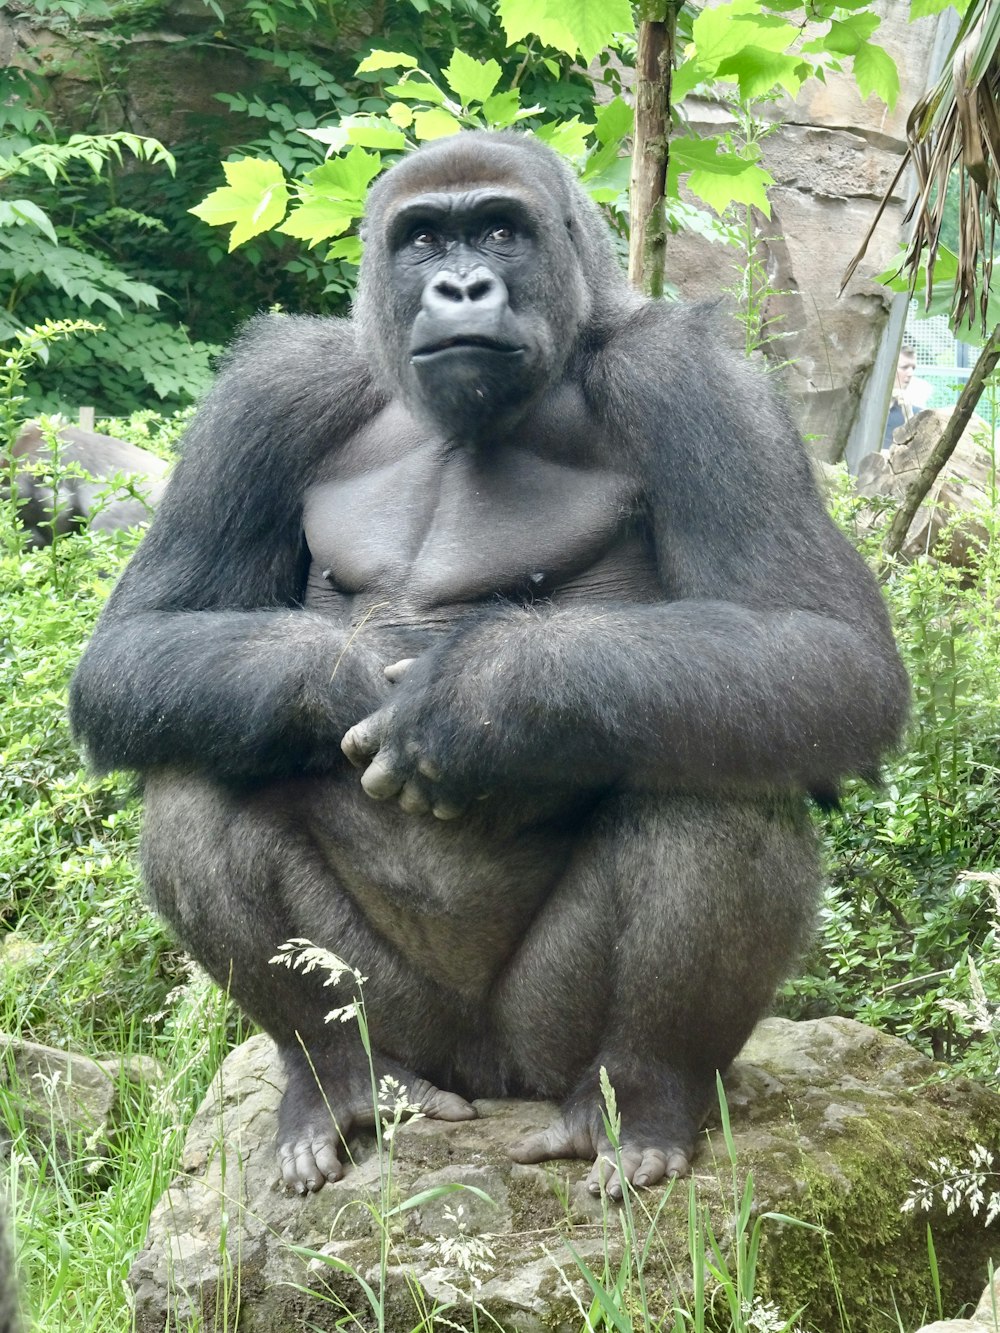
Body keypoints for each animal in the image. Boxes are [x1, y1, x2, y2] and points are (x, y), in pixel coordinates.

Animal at [68, 132, 906, 1199]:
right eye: (424, 239)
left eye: (502, 231)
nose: (462, 286)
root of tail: (485, 1073)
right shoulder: (274, 392)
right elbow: (134, 645)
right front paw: (336, 681)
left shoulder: (696, 383)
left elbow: (828, 655)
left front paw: (478, 700)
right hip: (409, 1027)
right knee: (201, 766)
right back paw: (336, 1079)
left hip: (540, 1041)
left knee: (718, 768)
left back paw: (640, 1097)